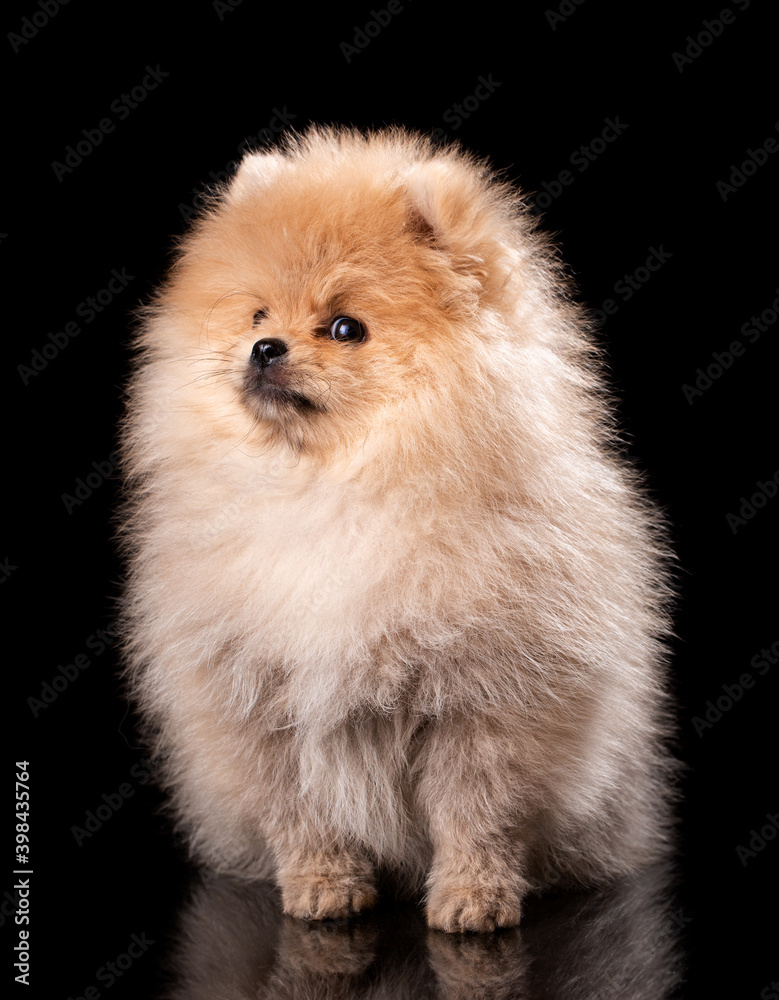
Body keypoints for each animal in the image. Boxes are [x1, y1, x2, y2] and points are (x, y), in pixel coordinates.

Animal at [120, 129, 676, 932]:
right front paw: (322, 883)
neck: (331, 494)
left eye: (344, 328)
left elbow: (478, 813)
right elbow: (298, 813)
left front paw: (473, 896)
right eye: (257, 316)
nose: (265, 349)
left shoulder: (486, 702)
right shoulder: (253, 703)